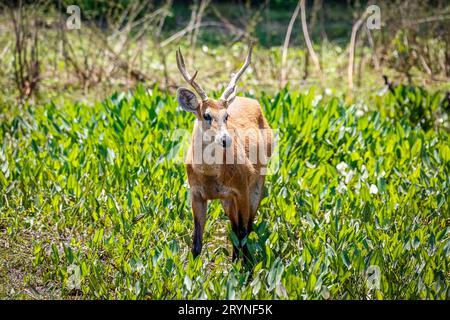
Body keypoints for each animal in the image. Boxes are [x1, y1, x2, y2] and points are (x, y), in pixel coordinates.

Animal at [176, 45, 274, 264]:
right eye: (206, 115)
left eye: (226, 116)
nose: (225, 139)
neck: (210, 175)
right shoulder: (196, 193)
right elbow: (197, 243)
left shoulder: (242, 187)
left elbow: (244, 232)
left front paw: (246, 267)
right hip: (227, 200)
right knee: (234, 226)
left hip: (258, 182)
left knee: (246, 226)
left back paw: (241, 260)